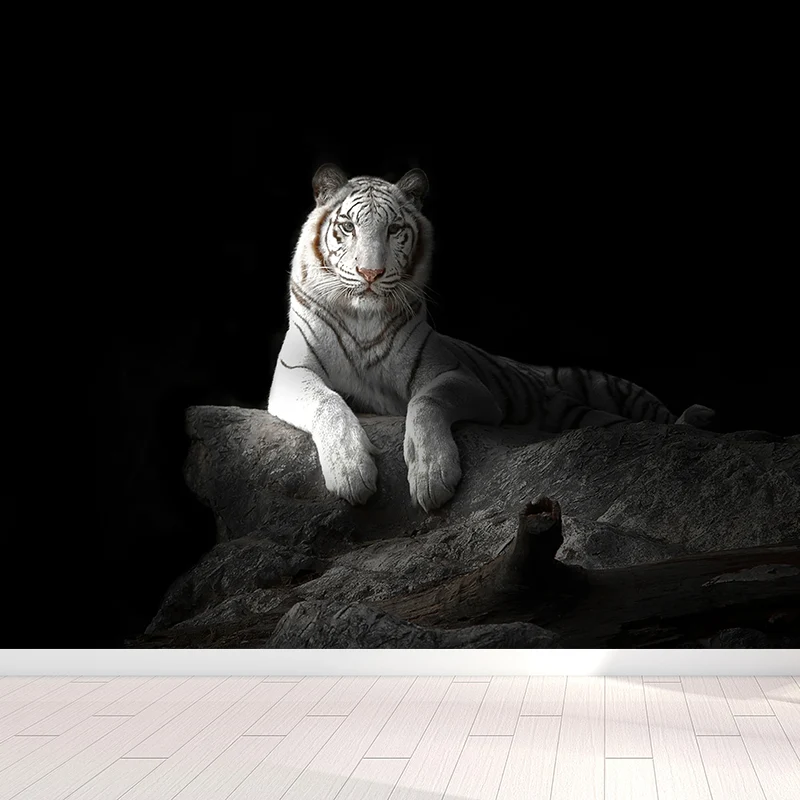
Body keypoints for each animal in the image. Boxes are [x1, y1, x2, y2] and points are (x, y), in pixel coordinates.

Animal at [267, 164, 714, 512]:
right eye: (347, 226)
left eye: (394, 229)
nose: (370, 274)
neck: (362, 316)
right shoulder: (291, 373)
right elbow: (328, 402)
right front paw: (351, 471)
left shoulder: (460, 378)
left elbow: (426, 402)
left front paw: (432, 475)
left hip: (613, 390)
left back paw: (697, 418)